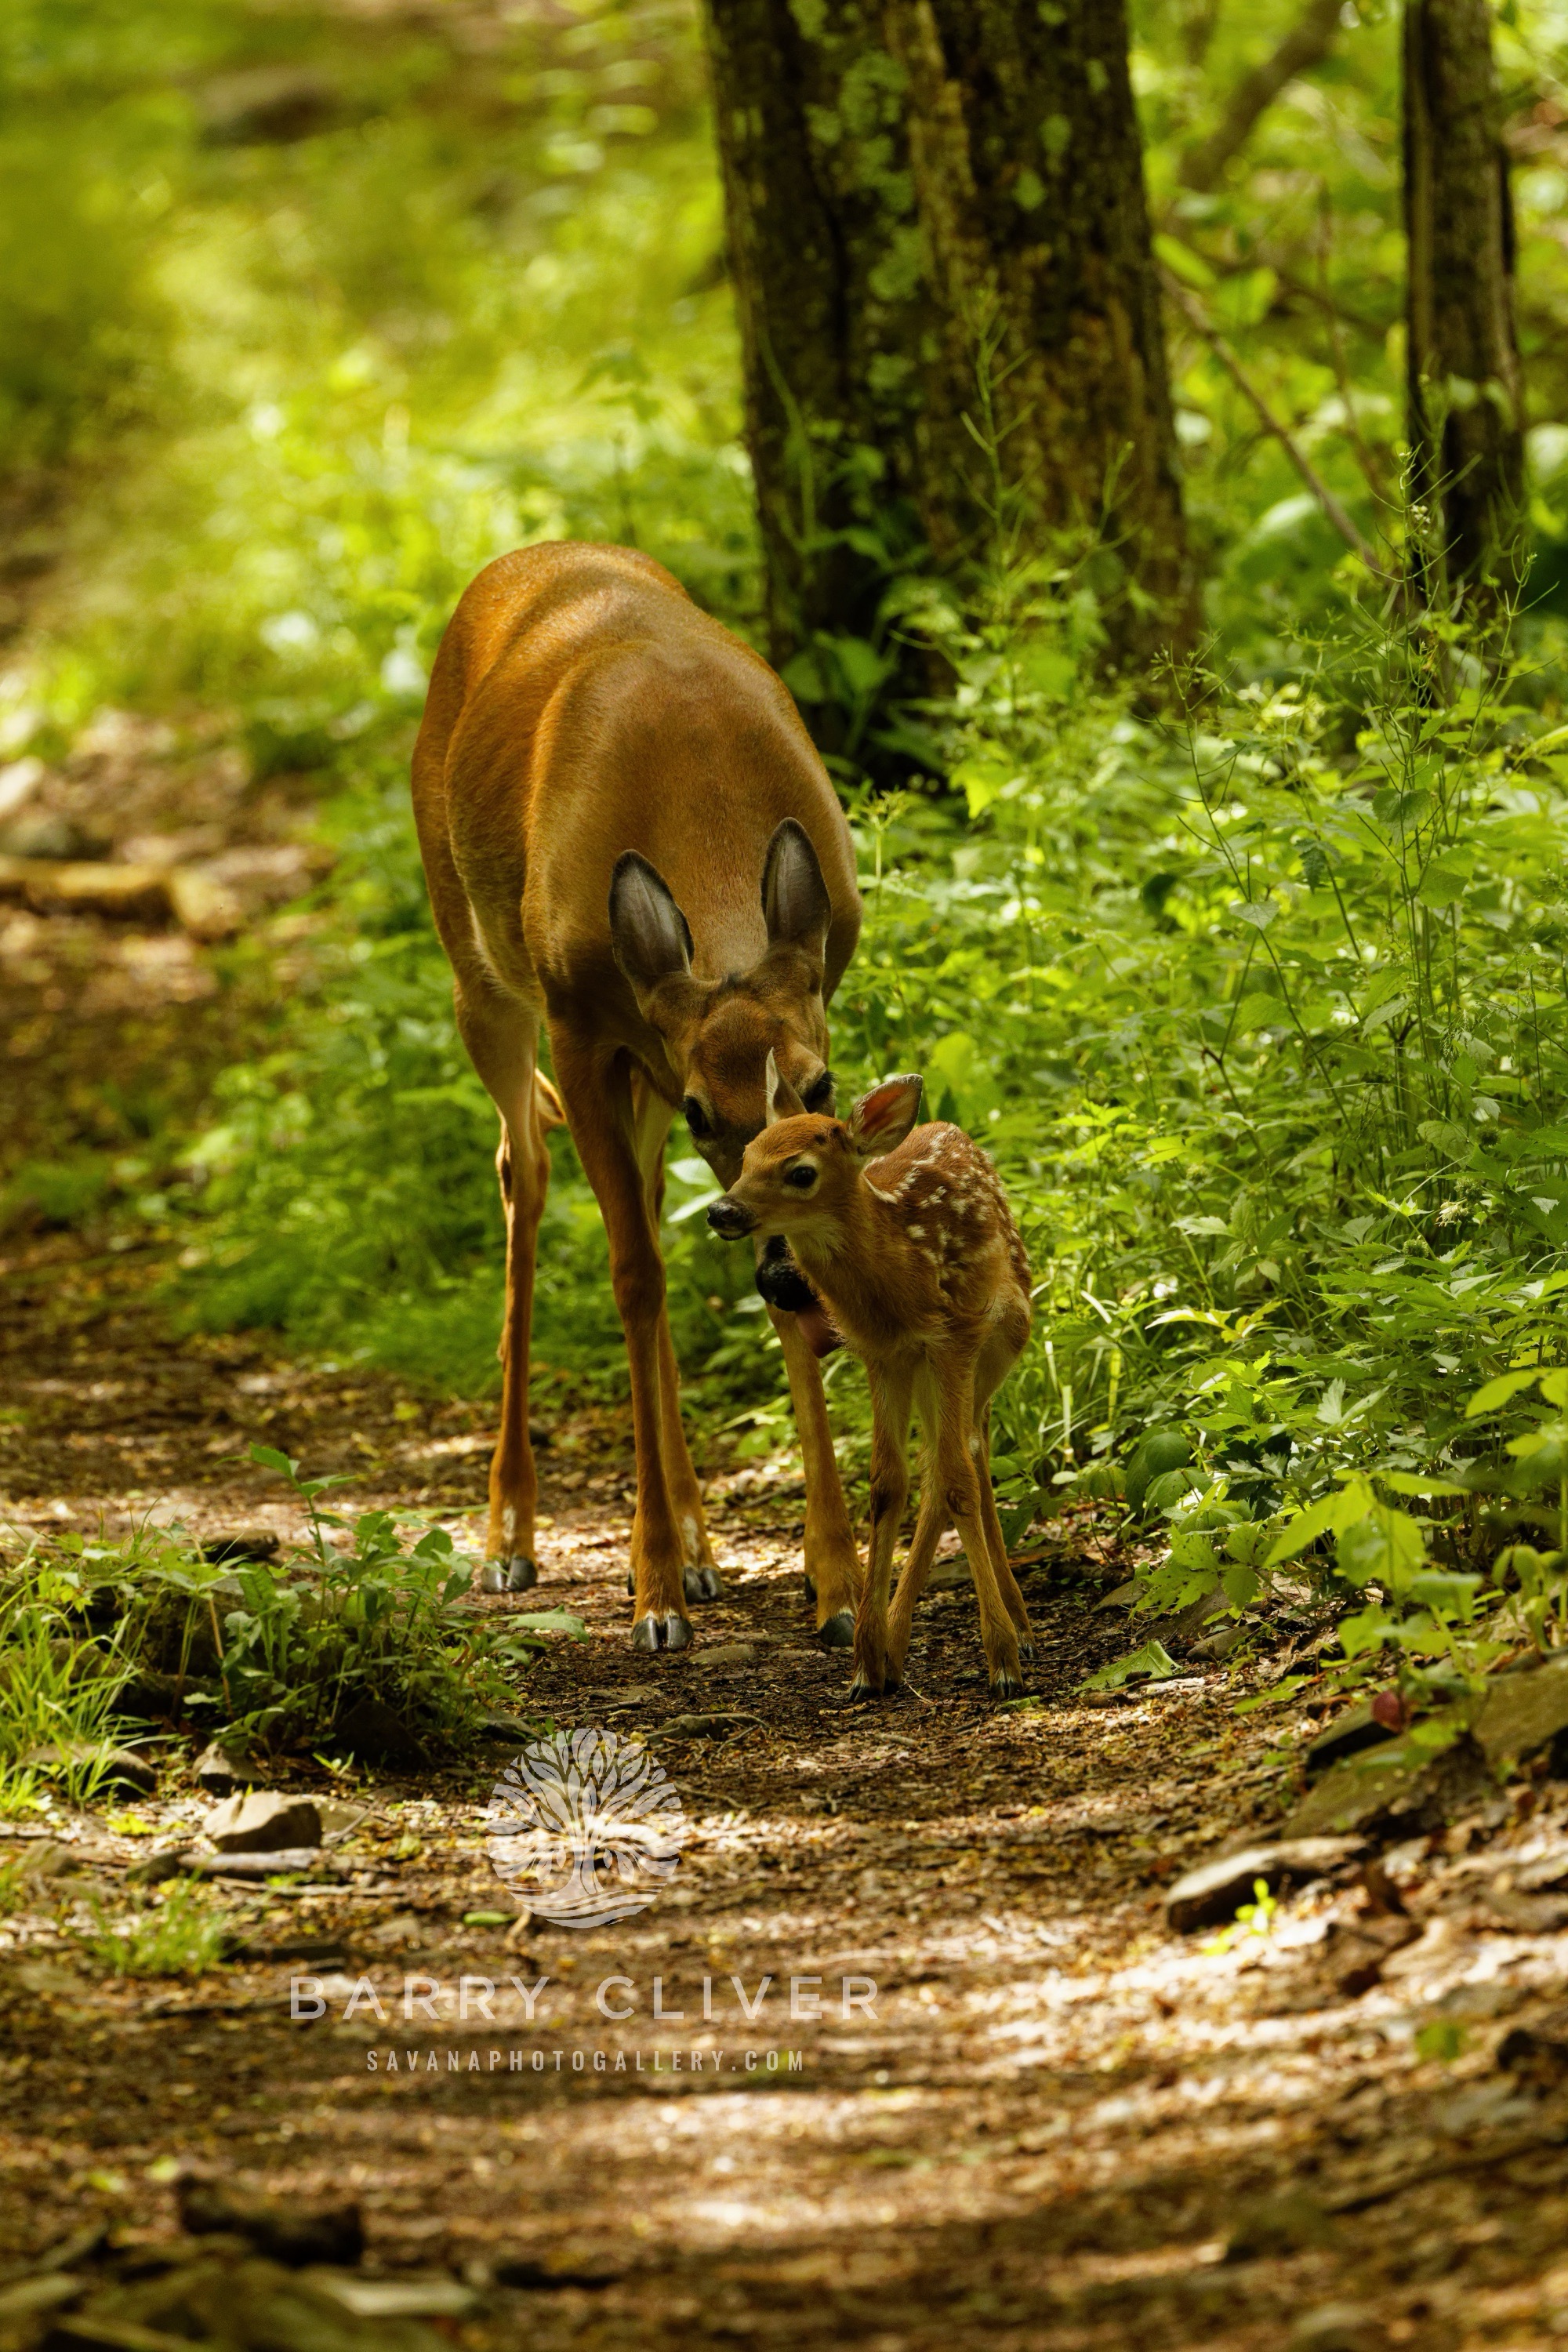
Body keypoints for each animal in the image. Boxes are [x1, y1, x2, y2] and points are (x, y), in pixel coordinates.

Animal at [411, 541, 865, 1656]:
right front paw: (653, 1592)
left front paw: (835, 1584)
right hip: (481, 972)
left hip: (635, 1066)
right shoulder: (582, 1030)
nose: (779, 1275)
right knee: (523, 1172)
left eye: (821, 1083)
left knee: (649, 1210)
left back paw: (701, 1545)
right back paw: (511, 1536)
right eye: (711, 1110)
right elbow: (630, 1276)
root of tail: (520, 559)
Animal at [714, 1063, 1034, 1693]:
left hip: (1000, 1345)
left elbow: (957, 1481)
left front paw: (1003, 1663)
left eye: (801, 1172)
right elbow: (887, 1484)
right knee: (946, 1460)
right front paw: (865, 1662)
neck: (896, 1280)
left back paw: (1018, 1630)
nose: (722, 1211)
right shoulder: (879, 1354)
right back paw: (900, 1644)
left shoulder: (954, 1336)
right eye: (746, 1156)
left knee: (967, 1456)